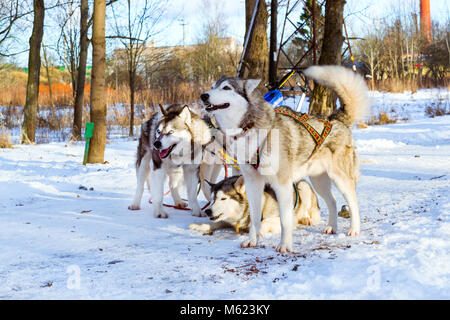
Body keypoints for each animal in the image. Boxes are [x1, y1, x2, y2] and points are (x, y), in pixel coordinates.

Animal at [189, 175, 320, 235]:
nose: (208, 211)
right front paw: (200, 226)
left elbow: (265, 222)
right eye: (211, 200)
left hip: (303, 187)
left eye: (223, 198)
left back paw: (306, 219)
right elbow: (214, 223)